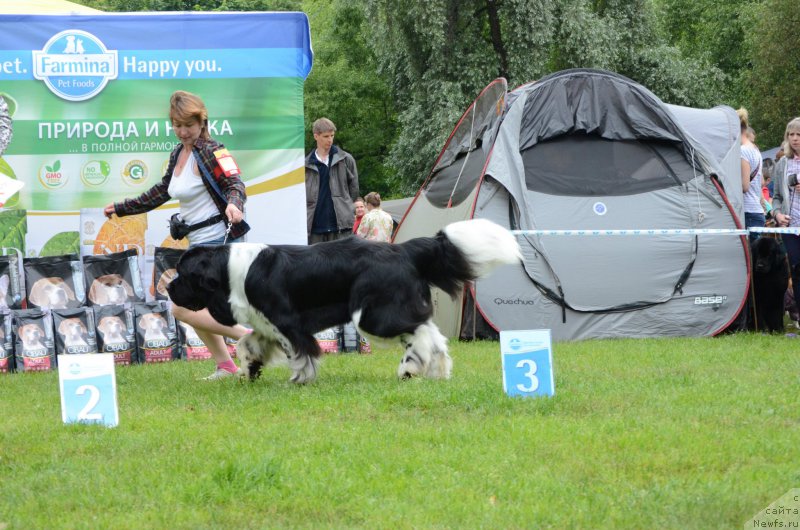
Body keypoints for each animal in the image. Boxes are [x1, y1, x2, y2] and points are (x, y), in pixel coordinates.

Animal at [166, 217, 520, 382]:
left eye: (183, 274)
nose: (168, 288)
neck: (231, 269)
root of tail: (403, 249)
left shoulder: (289, 323)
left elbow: (302, 354)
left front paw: (300, 379)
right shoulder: (267, 324)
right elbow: (246, 343)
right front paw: (251, 368)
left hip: (372, 315)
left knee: (420, 332)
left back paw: (410, 368)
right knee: (433, 335)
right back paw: (435, 370)